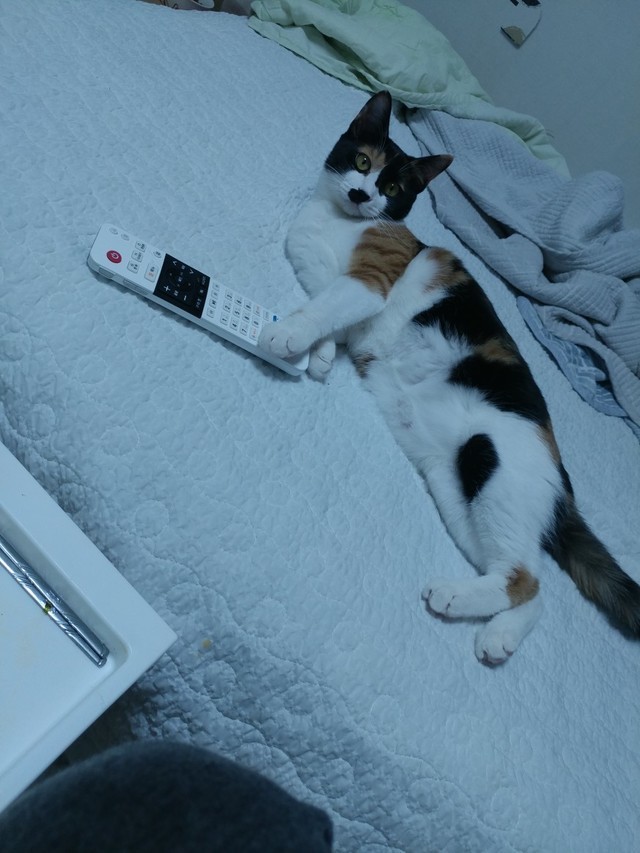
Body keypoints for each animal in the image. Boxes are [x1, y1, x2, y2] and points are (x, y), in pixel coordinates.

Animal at [258, 91, 640, 663]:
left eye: (393, 189)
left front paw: (287, 337)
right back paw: (498, 635)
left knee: (526, 578)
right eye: (362, 161)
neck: (336, 222)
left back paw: (454, 597)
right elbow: (327, 314)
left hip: (492, 464)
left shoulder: (369, 282)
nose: (361, 192)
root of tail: (563, 484)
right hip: (457, 496)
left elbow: (323, 307)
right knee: (532, 588)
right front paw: (319, 355)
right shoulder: (326, 278)